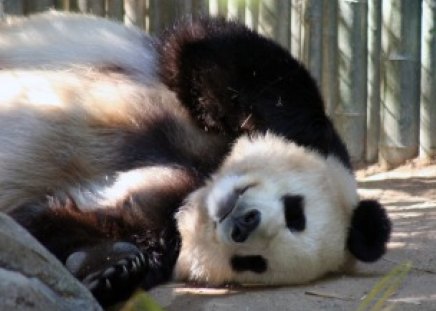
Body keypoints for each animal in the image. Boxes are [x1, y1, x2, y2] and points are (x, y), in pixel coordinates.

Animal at [0, 11, 390, 308]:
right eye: (296, 212)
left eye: (253, 263)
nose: (244, 223)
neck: (203, 180)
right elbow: (210, 51)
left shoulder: (159, 223)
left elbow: (59, 223)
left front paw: (114, 271)